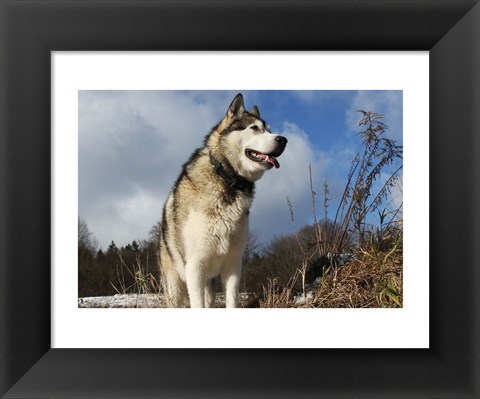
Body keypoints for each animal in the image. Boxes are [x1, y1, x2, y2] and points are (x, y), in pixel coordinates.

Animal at [159, 94, 286, 310]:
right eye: (255, 128)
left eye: (269, 130)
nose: (283, 140)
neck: (227, 179)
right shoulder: (195, 266)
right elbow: (197, 304)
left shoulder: (233, 264)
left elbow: (232, 301)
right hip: (175, 286)